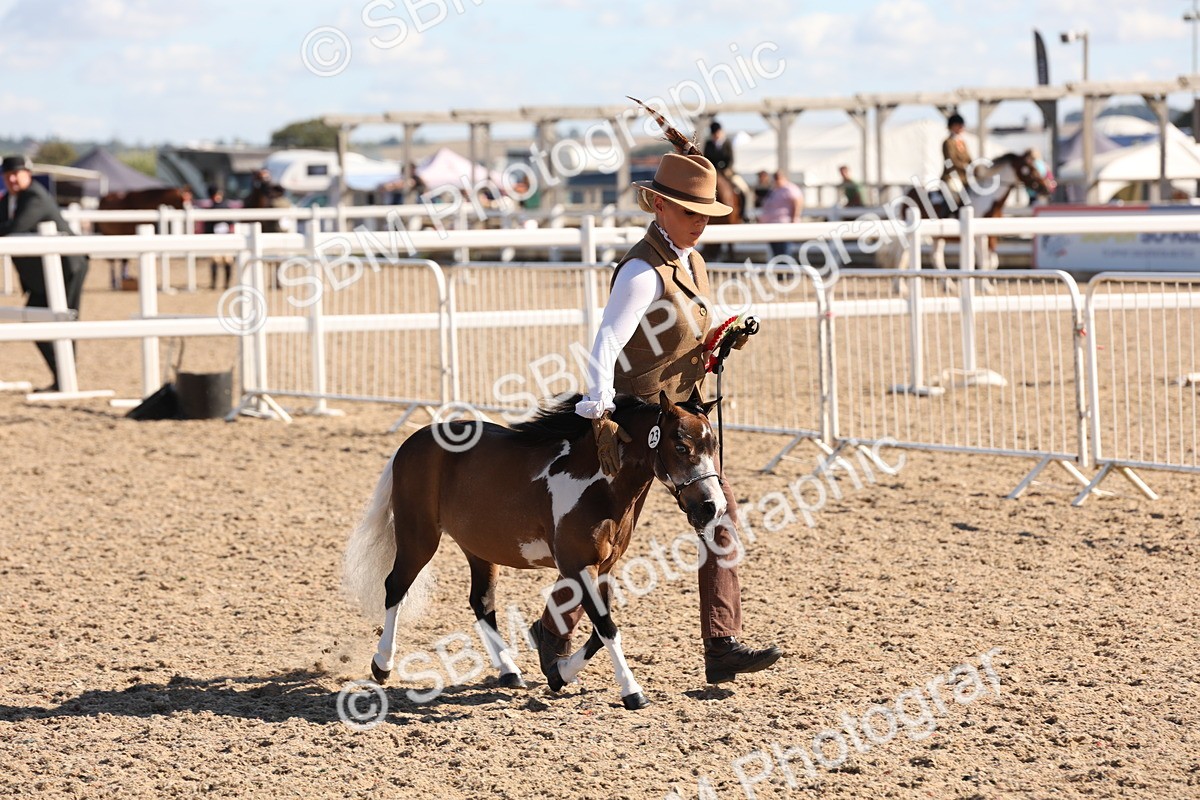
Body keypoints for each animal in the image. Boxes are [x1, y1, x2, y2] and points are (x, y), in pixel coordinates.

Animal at [343, 391, 726, 711]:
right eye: (680, 446)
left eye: (713, 445)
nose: (712, 507)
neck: (599, 485)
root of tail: (412, 441)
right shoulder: (578, 567)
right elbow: (606, 627)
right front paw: (632, 692)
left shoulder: (604, 569)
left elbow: (599, 631)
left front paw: (559, 673)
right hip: (419, 537)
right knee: (395, 588)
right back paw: (382, 665)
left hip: (479, 547)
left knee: (481, 602)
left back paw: (509, 671)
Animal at [875, 151, 1053, 280]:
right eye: (1029, 167)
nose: (1047, 187)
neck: (988, 200)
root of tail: (908, 193)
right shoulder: (980, 235)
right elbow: (983, 261)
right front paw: (985, 287)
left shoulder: (992, 234)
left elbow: (992, 261)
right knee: (901, 256)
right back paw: (899, 288)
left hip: (936, 236)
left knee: (935, 257)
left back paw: (948, 286)